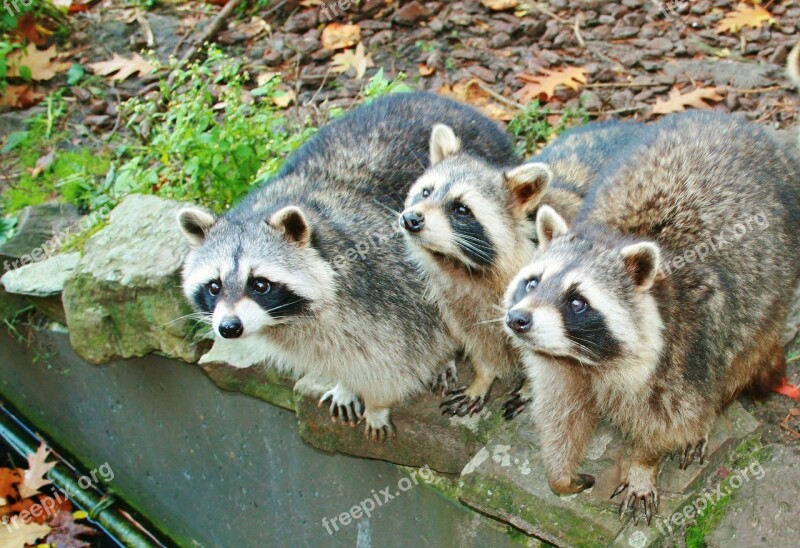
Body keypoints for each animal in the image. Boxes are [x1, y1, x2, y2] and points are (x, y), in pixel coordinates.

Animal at [177, 92, 516, 438]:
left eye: (259, 284)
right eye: (214, 286)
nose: (229, 327)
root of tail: (445, 98)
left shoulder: (387, 285)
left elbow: (397, 362)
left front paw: (377, 403)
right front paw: (346, 384)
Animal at [400, 120, 648, 418]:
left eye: (461, 209)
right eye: (426, 191)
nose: (410, 219)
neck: (464, 266)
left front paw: (530, 387)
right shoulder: (459, 304)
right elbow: (481, 343)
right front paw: (482, 378)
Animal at [506, 110, 800, 524]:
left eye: (577, 302)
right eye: (532, 283)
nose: (518, 319)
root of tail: (732, 121)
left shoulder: (685, 348)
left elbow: (665, 422)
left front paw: (644, 464)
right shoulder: (561, 366)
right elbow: (562, 415)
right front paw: (560, 474)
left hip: (769, 294)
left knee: (738, 360)